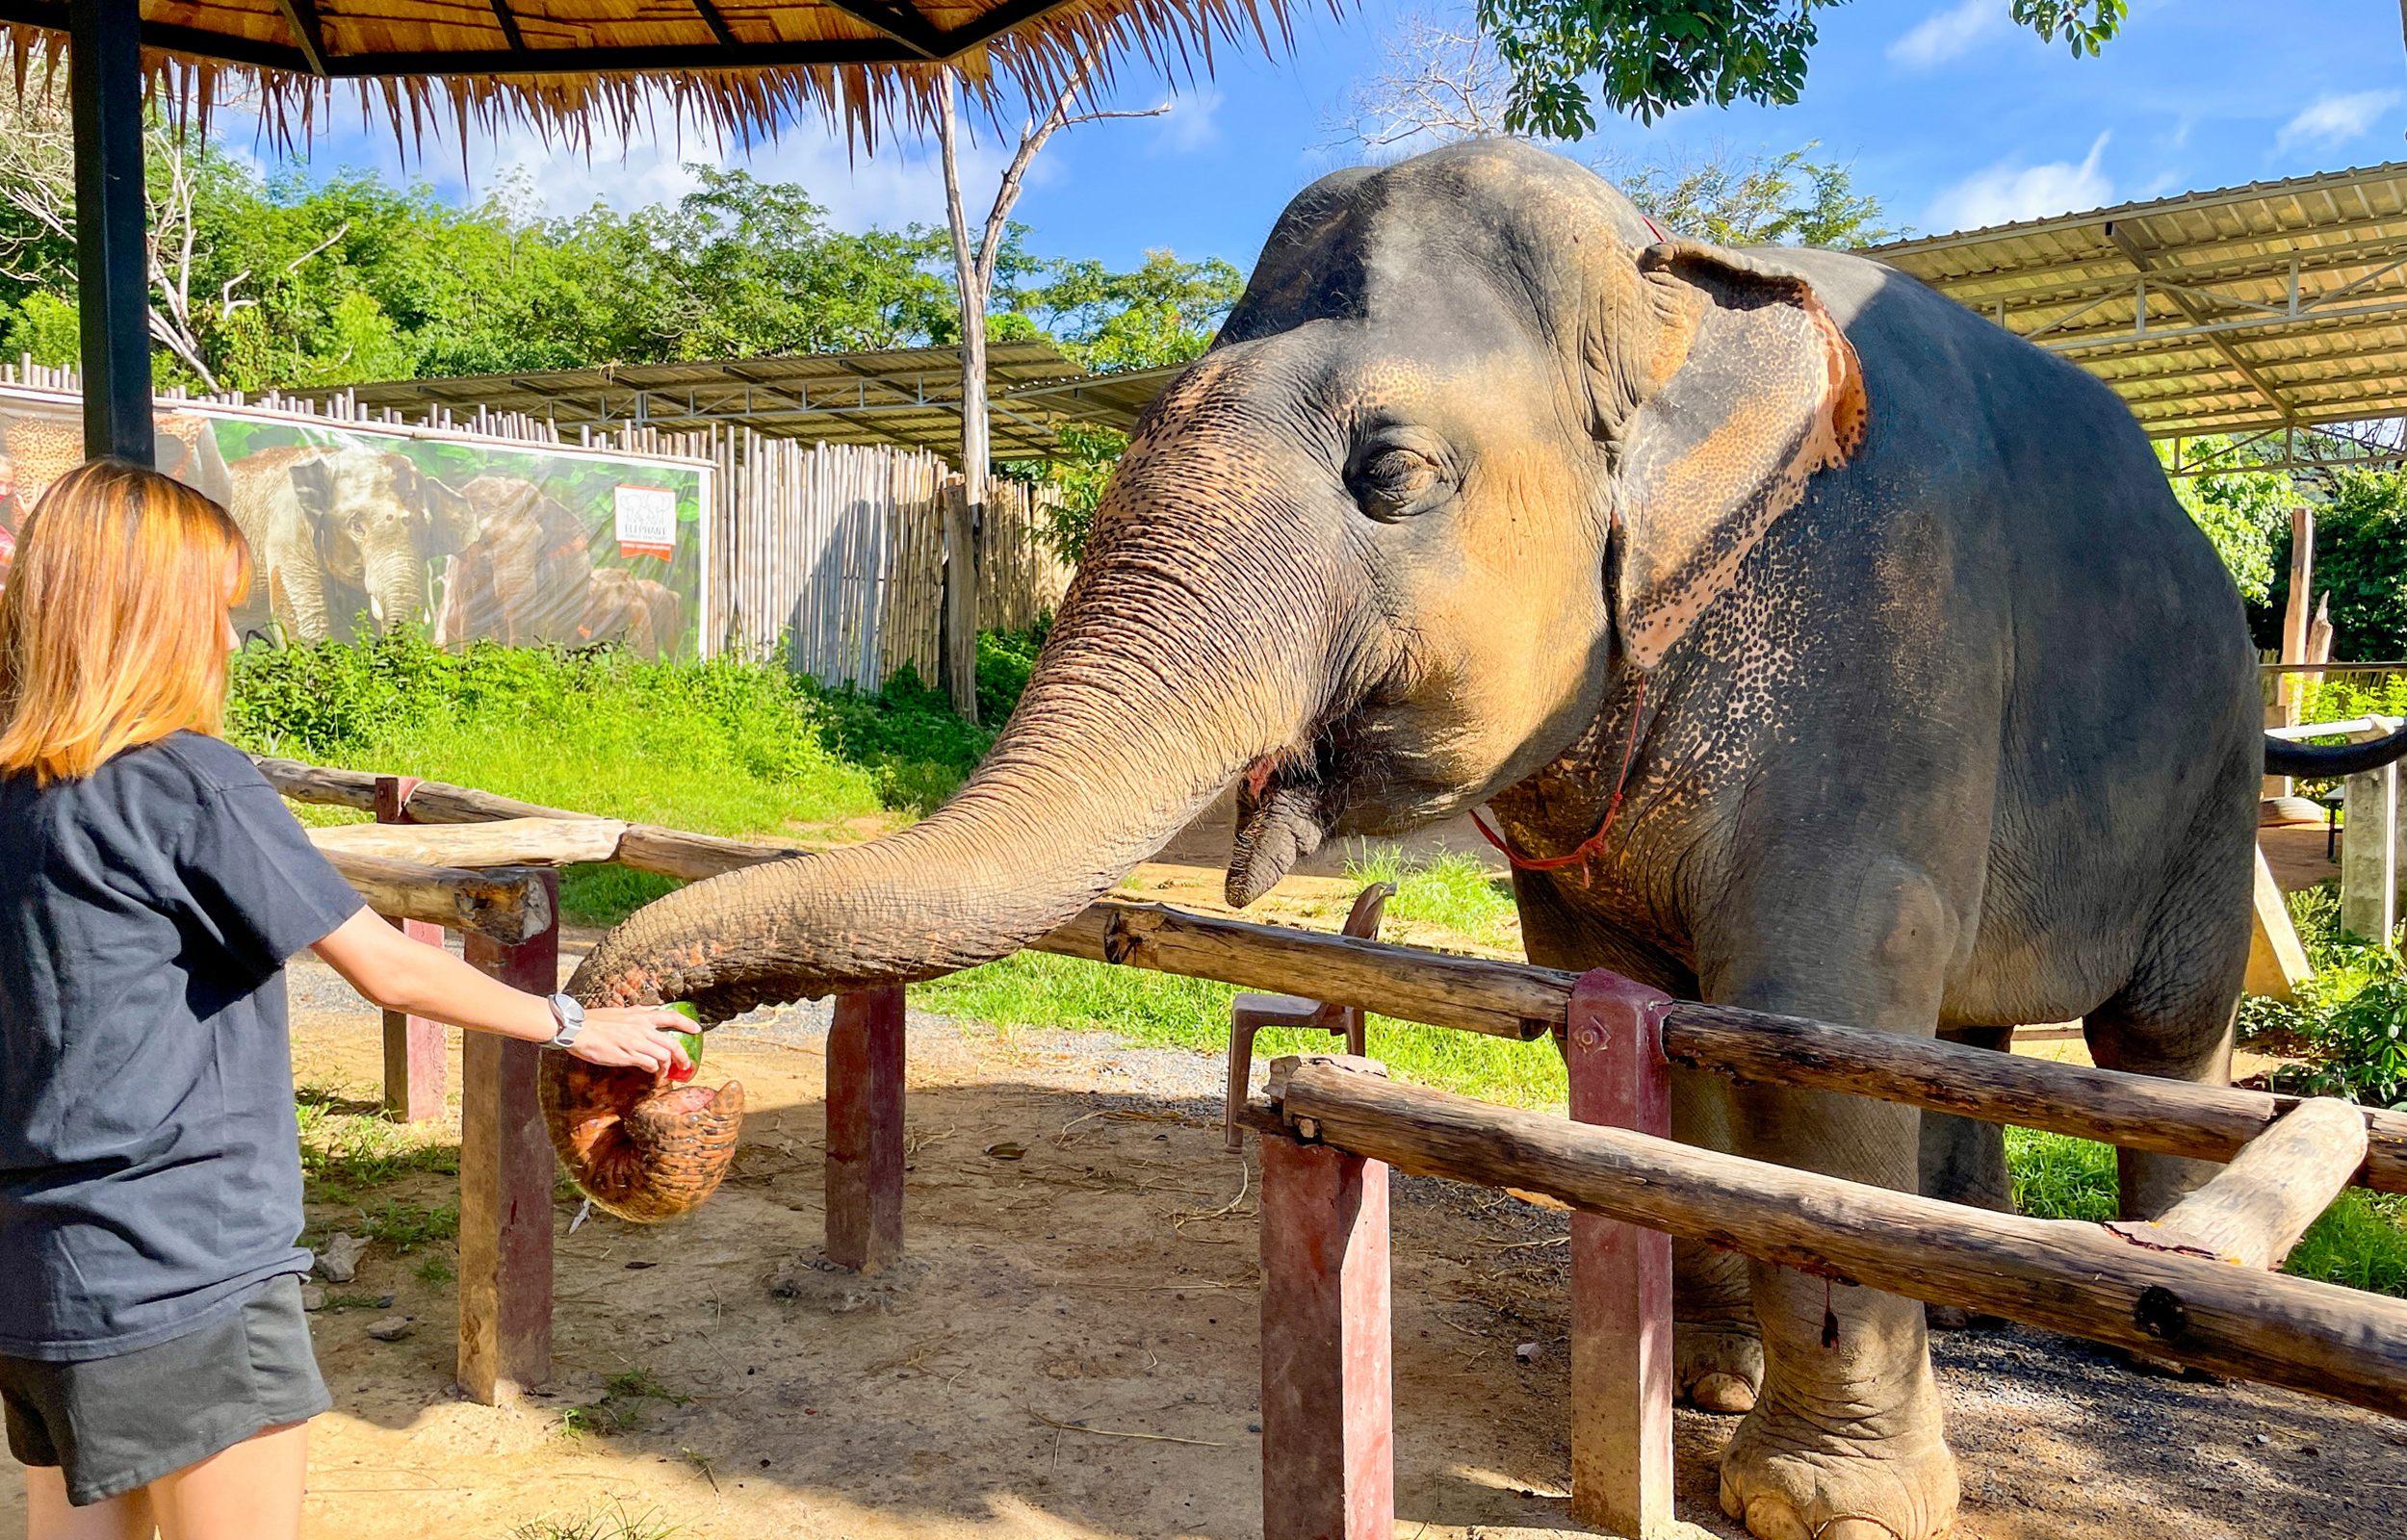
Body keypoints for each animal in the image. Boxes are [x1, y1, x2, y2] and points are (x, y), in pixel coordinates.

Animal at [527, 138, 2388, 1530]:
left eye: (1394, 474)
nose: (651, 1083)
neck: (1676, 278)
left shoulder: (1887, 661)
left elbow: (1817, 1026)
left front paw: (1825, 1510)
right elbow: (1648, 1020)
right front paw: (1703, 1383)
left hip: (2209, 779)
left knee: (2155, 1034)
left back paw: (2151, 1339)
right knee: (1978, 1039)